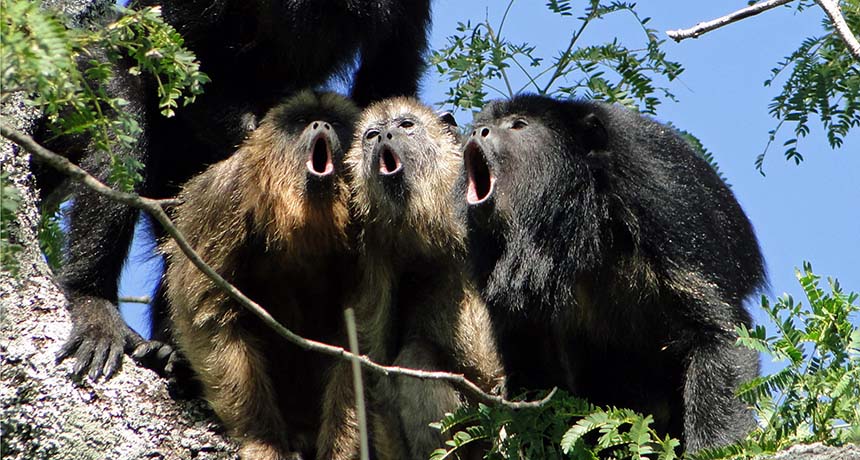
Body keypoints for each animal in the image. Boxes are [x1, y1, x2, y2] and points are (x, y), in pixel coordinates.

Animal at [160, 91, 359, 460]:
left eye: (336, 122)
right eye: (301, 121)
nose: (321, 125)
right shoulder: (224, 197)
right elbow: (211, 317)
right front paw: (263, 441)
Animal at [316, 98, 504, 460]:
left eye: (405, 125)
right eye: (371, 135)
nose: (384, 136)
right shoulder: (373, 252)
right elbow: (372, 360)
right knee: (417, 357)